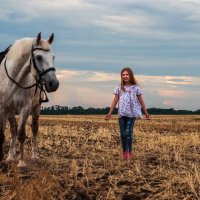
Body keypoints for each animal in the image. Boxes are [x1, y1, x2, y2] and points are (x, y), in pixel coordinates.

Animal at [0, 32, 59, 167]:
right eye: (39, 57)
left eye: (53, 57)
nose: (54, 84)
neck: (14, 80)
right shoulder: (4, 109)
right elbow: (5, 133)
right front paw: (6, 158)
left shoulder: (25, 109)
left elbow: (22, 134)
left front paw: (21, 162)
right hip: (11, 112)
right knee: (13, 130)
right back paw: (10, 156)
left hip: (36, 108)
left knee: (34, 129)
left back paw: (35, 156)